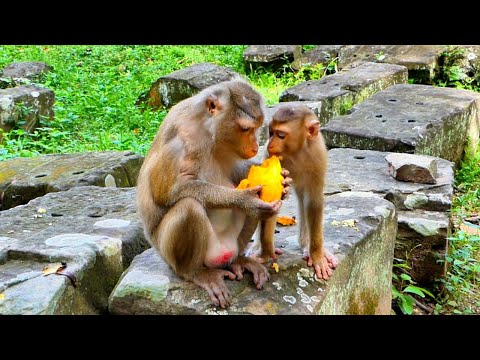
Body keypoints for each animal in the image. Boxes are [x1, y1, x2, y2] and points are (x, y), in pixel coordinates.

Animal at [136, 77, 292, 308]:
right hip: (170, 254)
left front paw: (285, 179)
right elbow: (168, 192)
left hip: (232, 244)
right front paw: (245, 200)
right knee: (189, 206)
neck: (210, 132)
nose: (256, 146)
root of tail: (222, 254)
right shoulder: (184, 139)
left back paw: (238, 261)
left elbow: (238, 172)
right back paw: (195, 273)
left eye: (256, 128)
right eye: (245, 129)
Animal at [258, 104, 338, 278]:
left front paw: (317, 255)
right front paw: (266, 253)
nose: (269, 144)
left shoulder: (318, 154)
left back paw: (307, 246)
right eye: (271, 132)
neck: (296, 152)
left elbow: (313, 202)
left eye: (281, 135)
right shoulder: (268, 156)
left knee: (304, 202)